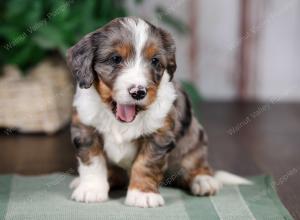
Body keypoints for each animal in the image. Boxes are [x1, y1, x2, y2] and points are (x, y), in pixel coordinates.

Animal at [66, 16, 251, 208]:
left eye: (155, 61)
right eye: (115, 58)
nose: (139, 92)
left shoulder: (159, 134)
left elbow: (145, 164)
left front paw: (142, 194)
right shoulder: (86, 128)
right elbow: (93, 162)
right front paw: (91, 189)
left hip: (194, 140)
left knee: (196, 166)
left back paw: (204, 181)